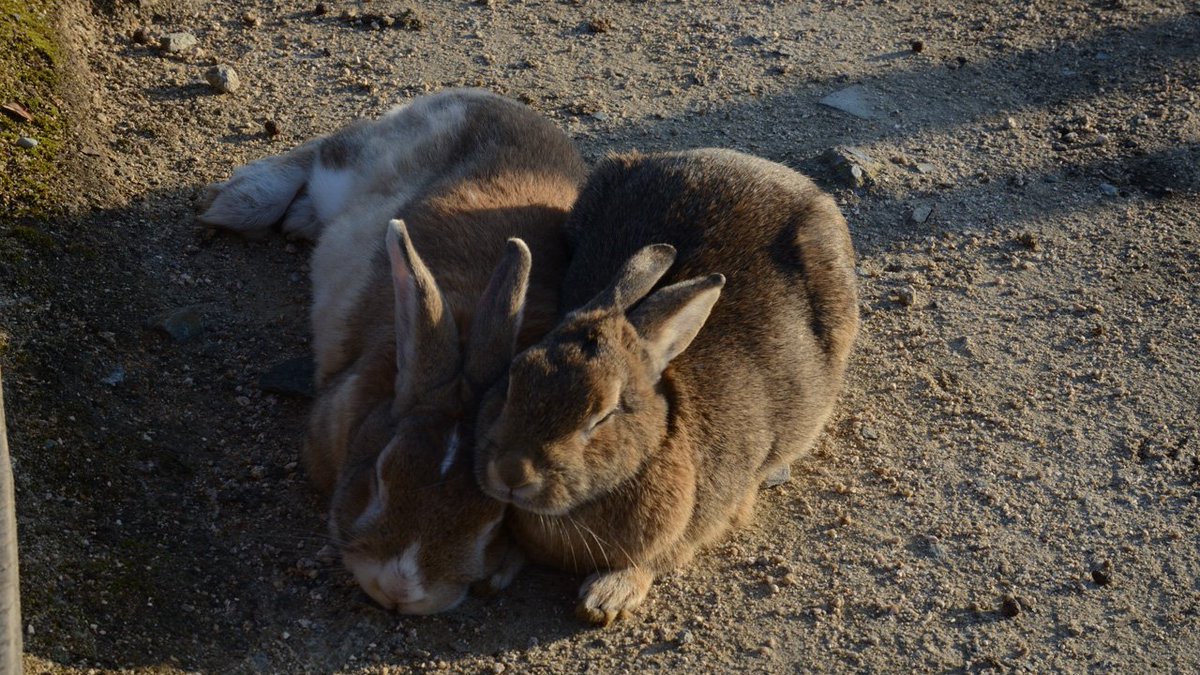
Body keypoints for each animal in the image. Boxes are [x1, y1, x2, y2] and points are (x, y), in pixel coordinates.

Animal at [196, 88, 585, 610]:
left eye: (494, 519)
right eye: (381, 476)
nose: (399, 589)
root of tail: (483, 97)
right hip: (355, 165)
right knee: (323, 152)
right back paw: (238, 203)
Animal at [472, 149, 859, 624]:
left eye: (603, 415)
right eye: (513, 380)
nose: (512, 473)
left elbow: (651, 562)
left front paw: (606, 598)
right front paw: (493, 569)